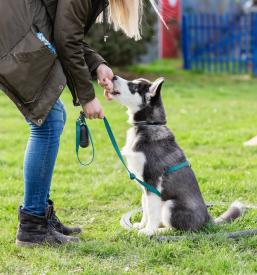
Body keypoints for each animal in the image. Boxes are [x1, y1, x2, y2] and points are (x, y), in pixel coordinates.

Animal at [110, 76, 244, 237]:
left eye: (133, 86)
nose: (113, 76)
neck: (148, 124)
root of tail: (208, 218)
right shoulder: (144, 186)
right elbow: (145, 208)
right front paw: (141, 225)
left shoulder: (152, 182)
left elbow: (152, 212)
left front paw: (148, 230)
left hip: (170, 205)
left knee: (180, 230)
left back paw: (161, 230)